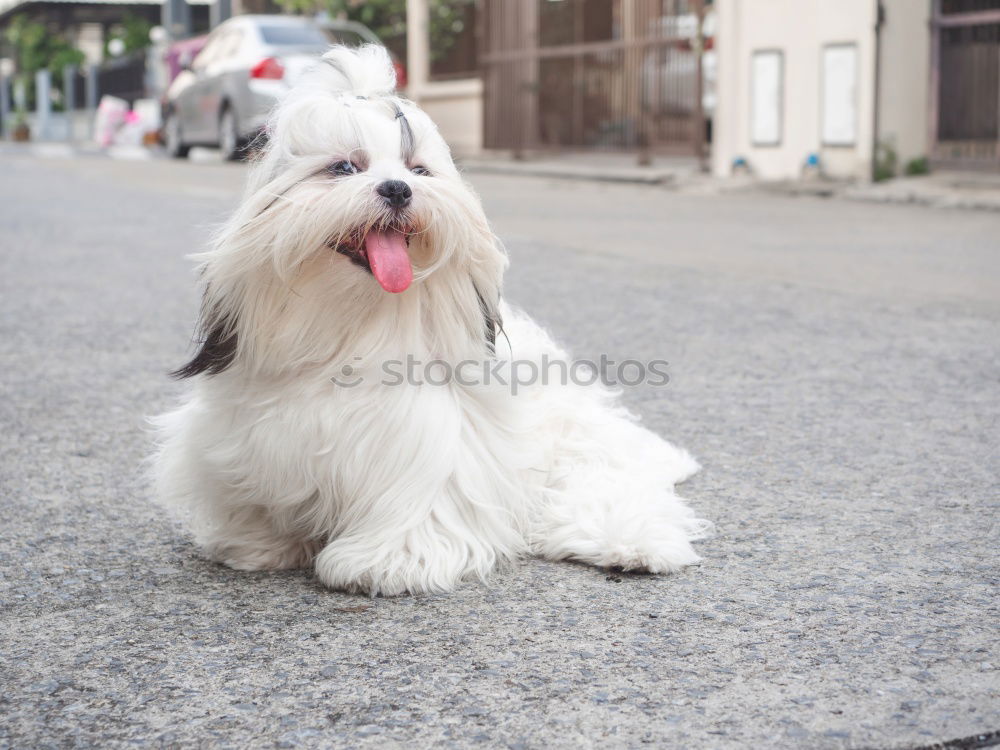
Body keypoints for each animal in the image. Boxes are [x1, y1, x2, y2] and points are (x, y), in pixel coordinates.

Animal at [152, 45, 708, 600]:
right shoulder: (250, 440)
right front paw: (258, 543)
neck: (349, 329)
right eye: (343, 167)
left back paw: (632, 546)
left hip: (582, 454)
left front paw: (389, 563)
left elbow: (419, 504)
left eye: (418, 170)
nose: (398, 189)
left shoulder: (428, 442)